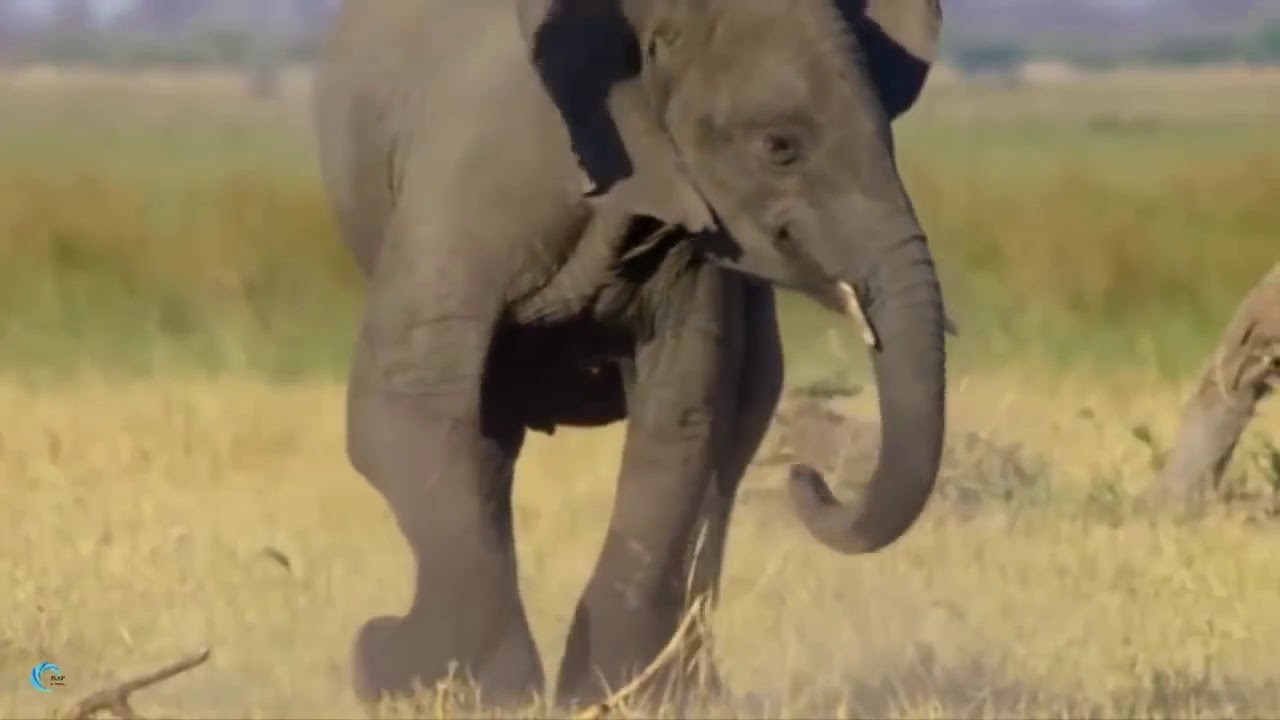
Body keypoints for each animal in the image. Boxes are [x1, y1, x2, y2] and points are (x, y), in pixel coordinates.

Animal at [311, 0, 949, 711]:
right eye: (779, 146)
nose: (810, 477)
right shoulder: (465, 191)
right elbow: (409, 410)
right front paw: (439, 686)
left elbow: (682, 411)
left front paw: (614, 697)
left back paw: (693, 691)